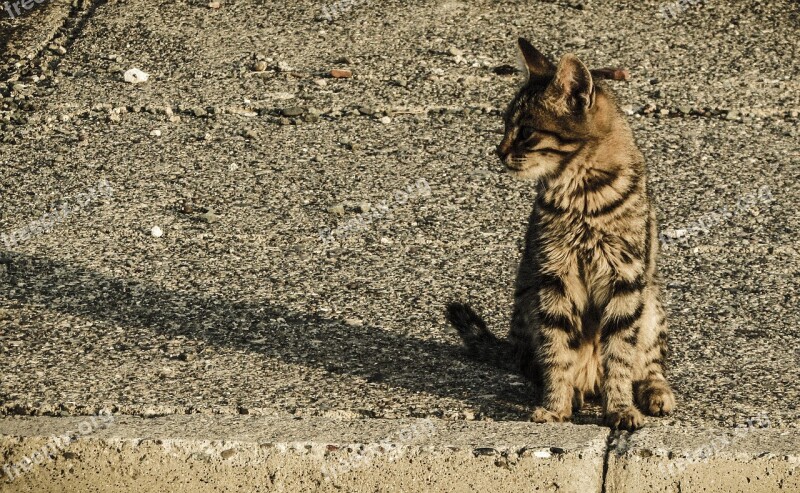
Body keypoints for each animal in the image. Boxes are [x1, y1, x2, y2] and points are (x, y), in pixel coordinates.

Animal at [450, 39, 676, 430]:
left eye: (525, 131)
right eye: (505, 125)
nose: (498, 151)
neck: (582, 192)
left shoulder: (625, 279)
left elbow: (620, 355)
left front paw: (620, 408)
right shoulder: (554, 276)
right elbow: (557, 352)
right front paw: (555, 406)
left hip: (649, 302)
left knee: (649, 364)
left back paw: (654, 392)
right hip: (529, 303)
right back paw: (574, 392)